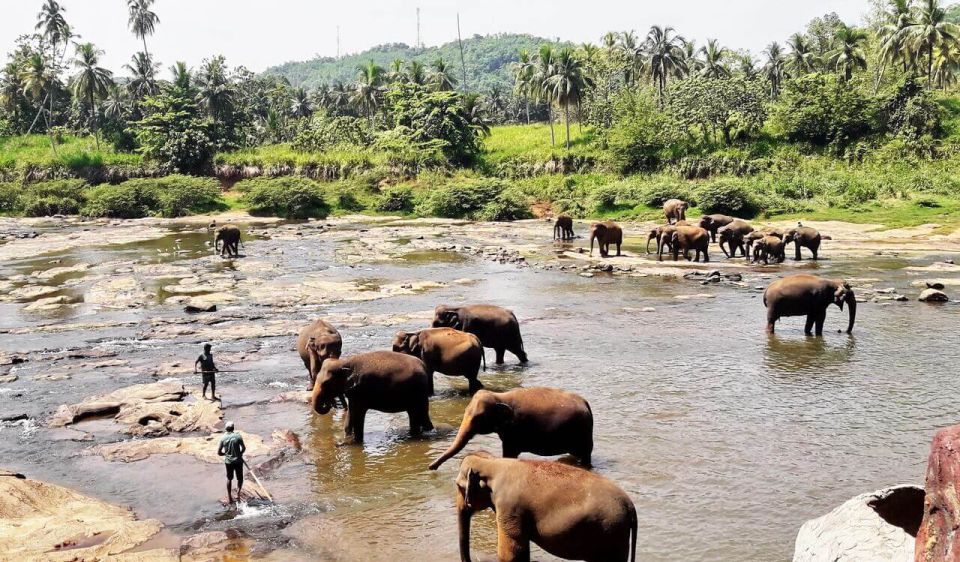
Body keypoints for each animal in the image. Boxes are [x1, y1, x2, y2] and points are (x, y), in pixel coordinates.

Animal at [430, 384, 592, 468]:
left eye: (479, 418)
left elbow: (509, 454)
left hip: (582, 432)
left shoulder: (514, 431)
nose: (432, 467)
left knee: (585, 454)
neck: (500, 396)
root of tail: (586, 403)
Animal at [456, 450, 636, 560]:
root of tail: (631, 508)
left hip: (611, 533)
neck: (493, 463)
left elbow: (512, 553)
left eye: (458, 486)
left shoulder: (509, 508)